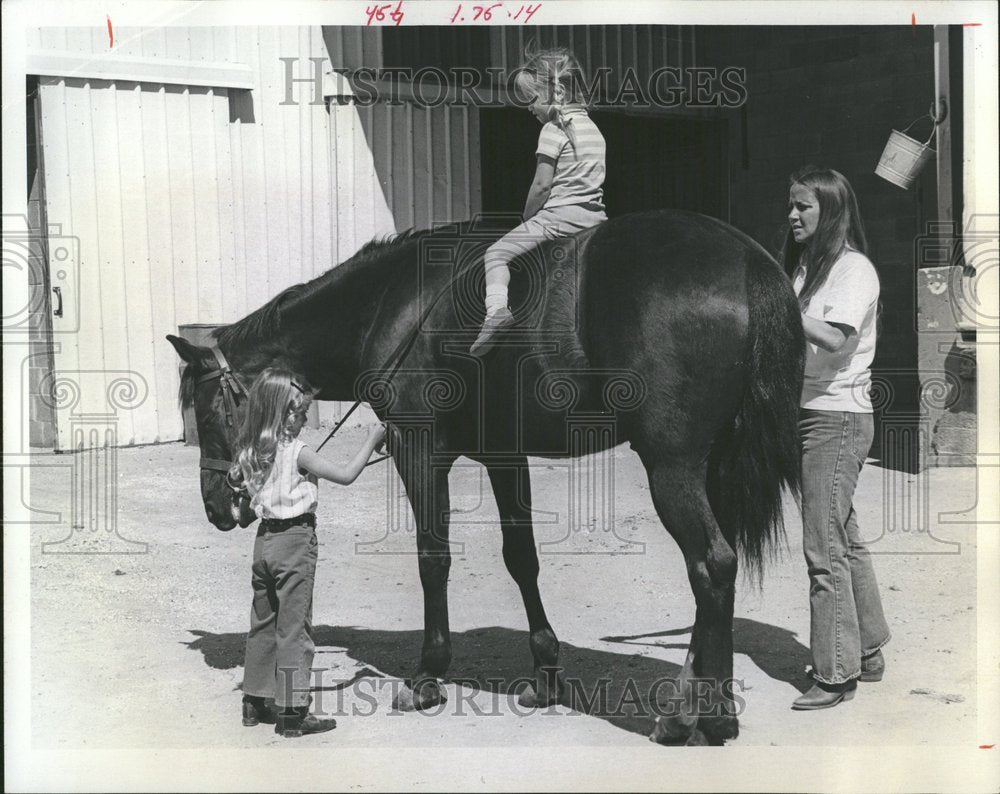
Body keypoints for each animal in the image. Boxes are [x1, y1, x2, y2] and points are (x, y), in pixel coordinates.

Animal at [166, 209, 804, 744]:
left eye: (206, 414)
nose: (217, 506)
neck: (395, 302)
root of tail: (747, 259)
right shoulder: (503, 455)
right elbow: (522, 558)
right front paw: (545, 673)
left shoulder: (418, 450)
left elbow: (433, 558)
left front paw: (427, 676)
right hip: (711, 464)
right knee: (716, 571)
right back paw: (710, 706)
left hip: (672, 466)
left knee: (711, 565)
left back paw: (691, 717)